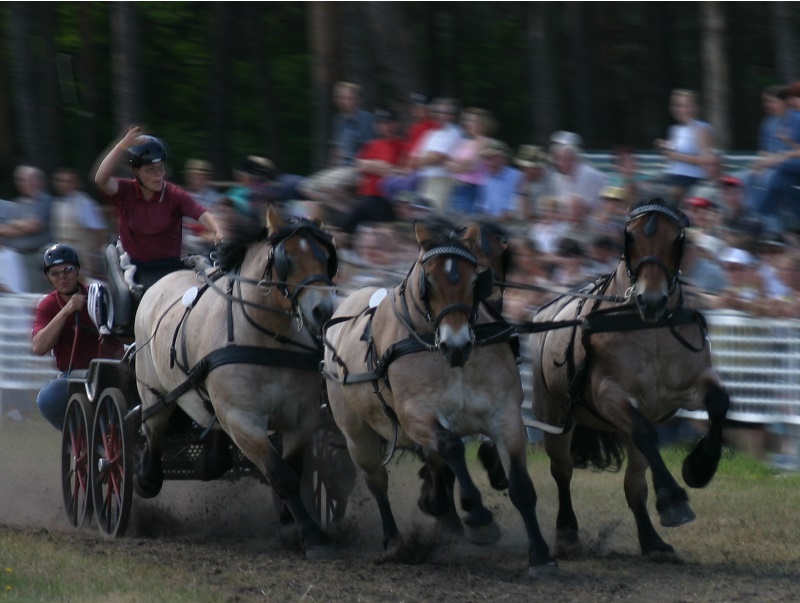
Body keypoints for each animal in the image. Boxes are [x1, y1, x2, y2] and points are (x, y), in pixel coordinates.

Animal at [135, 205, 340, 560]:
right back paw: (146, 479)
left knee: (211, 426)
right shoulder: (243, 419)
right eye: (287, 258)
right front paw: (312, 536)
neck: (268, 337)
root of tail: (161, 281)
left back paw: (212, 462)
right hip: (154, 393)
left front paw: (289, 519)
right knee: (153, 432)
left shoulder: (303, 418)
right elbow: (282, 474)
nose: (322, 310)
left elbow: (294, 470)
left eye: (327, 256)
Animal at [320, 221, 556, 576]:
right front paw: (477, 515)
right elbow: (452, 448)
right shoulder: (416, 415)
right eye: (427, 282)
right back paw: (394, 539)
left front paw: (540, 554)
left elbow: (520, 487)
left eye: (476, 280)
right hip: (356, 434)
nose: (455, 344)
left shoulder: (506, 415)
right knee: (377, 480)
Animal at [532, 198, 732, 560]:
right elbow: (646, 432)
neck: (647, 327)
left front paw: (700, 466)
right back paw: (567, 533)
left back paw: (653, 542)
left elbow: (719, 402)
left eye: (677, 239)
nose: (651, 300)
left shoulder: (689, 386)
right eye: (630, 236)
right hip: (554, 413)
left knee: (634, 482)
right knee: (563, 468)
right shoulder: (610, 394)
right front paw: (673, 498)